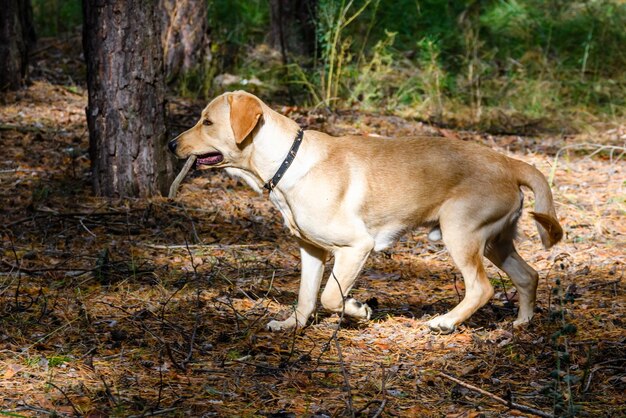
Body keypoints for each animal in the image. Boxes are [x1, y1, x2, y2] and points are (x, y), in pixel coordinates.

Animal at [167, 90, 560, 334]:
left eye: (207, 122)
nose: (170, 144)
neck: (288, 162)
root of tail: (509, 162)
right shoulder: (311, 250)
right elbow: (305, 297)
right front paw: (293, 325)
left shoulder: (357, 247)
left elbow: (330, 297)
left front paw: (358, 311)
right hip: (495, 241)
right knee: (528, 276)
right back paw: (523, 323)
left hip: (460, 234)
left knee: (481, 288)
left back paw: (445, 322)